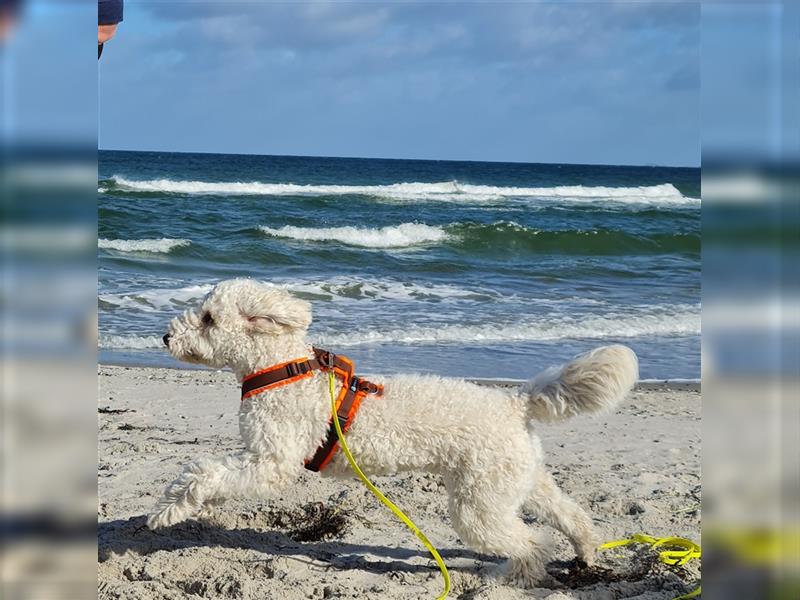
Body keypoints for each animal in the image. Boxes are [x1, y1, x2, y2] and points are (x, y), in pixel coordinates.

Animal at [148, 280, 636, 584]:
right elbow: (210, 473)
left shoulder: (271, 462)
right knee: (569, 514)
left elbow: (204, 475)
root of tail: (514, 404)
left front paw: (168, 509)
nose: (166, 337)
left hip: (479, 505)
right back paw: (586, 551)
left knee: (532, 544)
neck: (282, 369)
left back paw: (510, 578)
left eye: (208, 318)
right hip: (518, 481)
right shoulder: (258, 457)